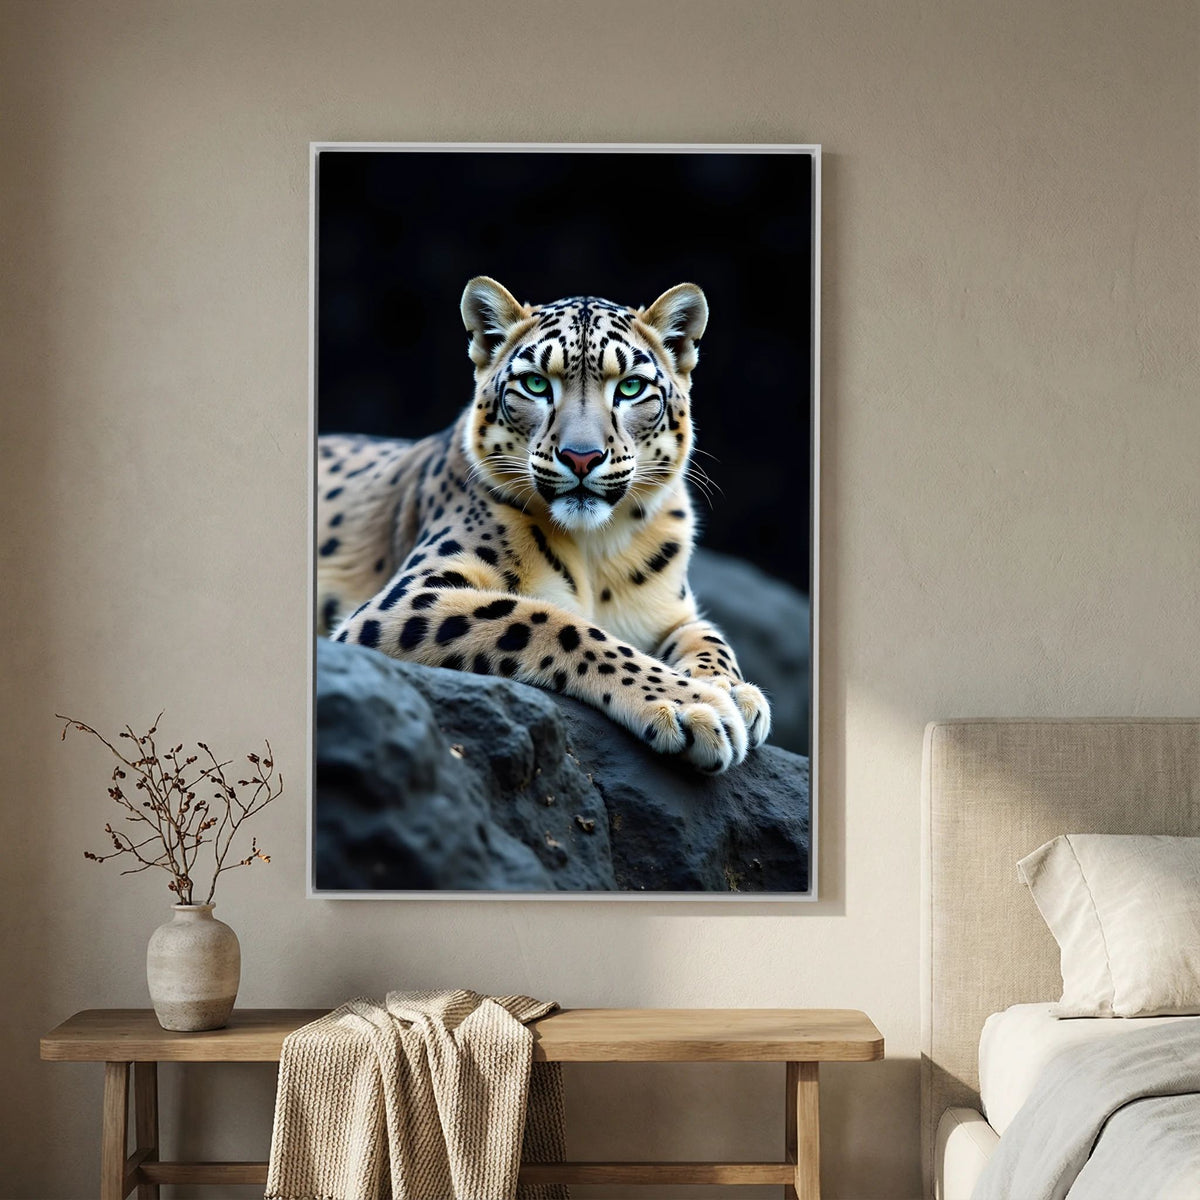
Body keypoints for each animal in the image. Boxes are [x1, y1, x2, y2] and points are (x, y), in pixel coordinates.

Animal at [316, 277, 771, 773]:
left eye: (631, 387)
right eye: (535, 383)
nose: (581, 456)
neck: (596, 549)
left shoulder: (671, 612)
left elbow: (710, 637)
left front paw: (735, 691)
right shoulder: (407, 597)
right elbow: (548, 620)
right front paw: (695, 704)